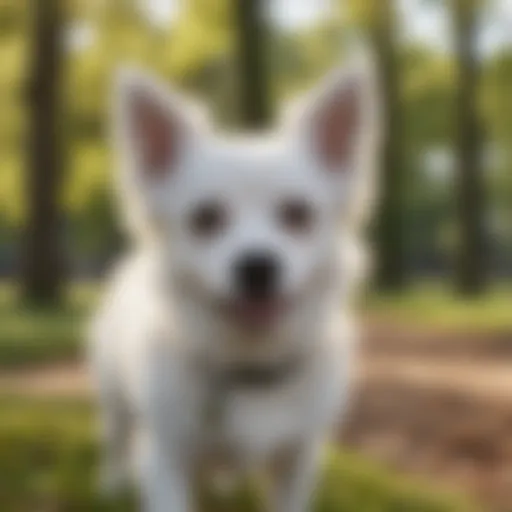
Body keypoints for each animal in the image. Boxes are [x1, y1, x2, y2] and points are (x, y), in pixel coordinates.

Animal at [90, 56, 380, 512]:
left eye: (298, 214)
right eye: (205, 218)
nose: (257, 265)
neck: (249, 365)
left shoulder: (298, 459)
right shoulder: (167, 456)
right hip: (114, 394)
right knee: (116, 438)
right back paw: (111, 485)